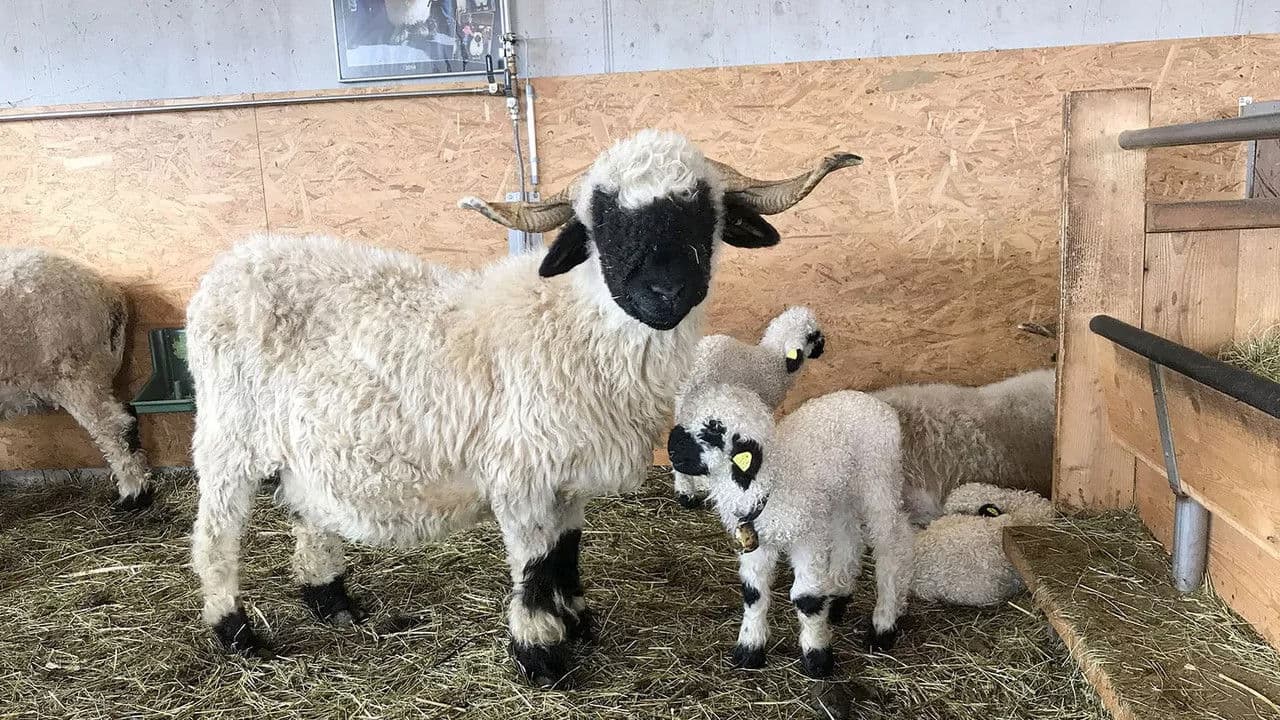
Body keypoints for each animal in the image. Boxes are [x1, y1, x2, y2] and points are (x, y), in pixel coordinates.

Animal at [668, 383, 914, 678]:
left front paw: (817, 658)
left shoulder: (806, 538)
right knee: (849, 536)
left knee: (891, 550)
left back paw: (883, 625)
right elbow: (753, 593)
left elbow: (806, 599)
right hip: (839, 494)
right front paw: (749, 649)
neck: (772, 479)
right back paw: (838, 597)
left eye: (715, 428)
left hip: (880, 482)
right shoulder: (758, 541)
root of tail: (872, 400)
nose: (671, 450)